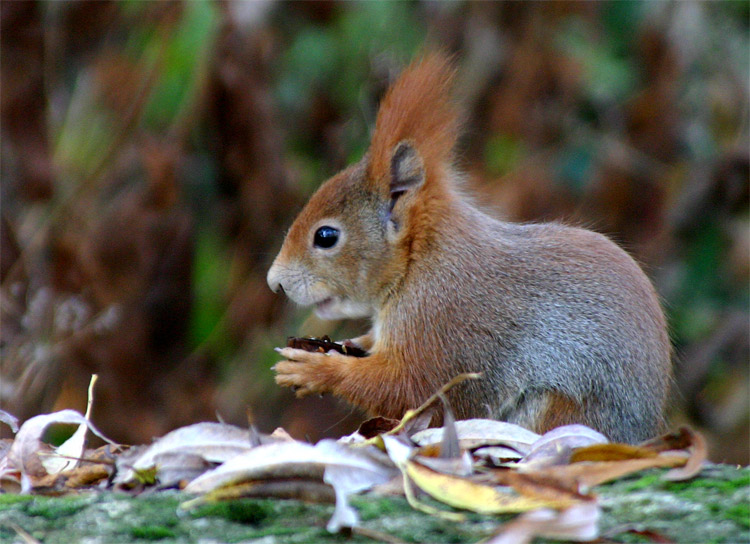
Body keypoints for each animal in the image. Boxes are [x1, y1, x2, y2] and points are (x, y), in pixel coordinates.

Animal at [268, 54, 672, 442]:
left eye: (326, 237)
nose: (276, 283)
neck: (418, 258)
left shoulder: (443, 318)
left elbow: (414, 388)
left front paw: (314, 369)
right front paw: (347, 343)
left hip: (557, 408)